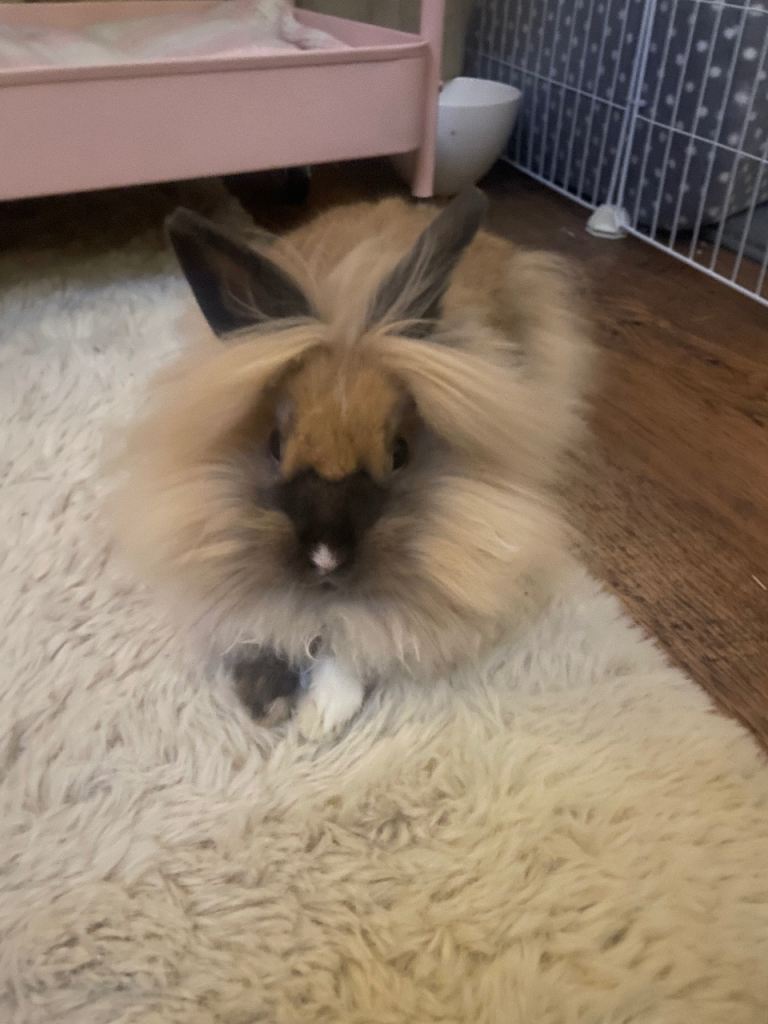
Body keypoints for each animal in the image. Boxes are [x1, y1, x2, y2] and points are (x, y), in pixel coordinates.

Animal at [110, 188, 592, 738]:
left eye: (400, 453)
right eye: (275, 445)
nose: (327, 556)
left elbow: (358, 637)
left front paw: (320, 715)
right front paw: (266, 702)